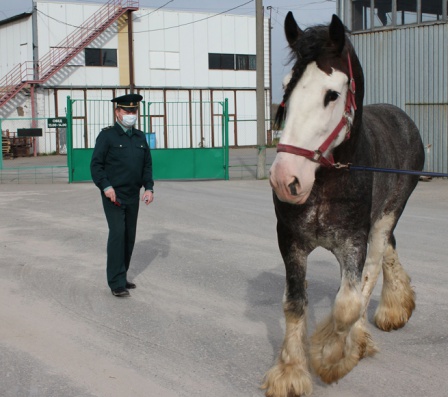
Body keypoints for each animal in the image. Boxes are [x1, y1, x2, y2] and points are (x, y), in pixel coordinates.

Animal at [264, 12, 426, 396]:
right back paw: (397, 306)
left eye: (332, 94)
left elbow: (347, 304)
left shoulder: (353, 241)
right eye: (286, 85)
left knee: (376, 264)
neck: (327, 182)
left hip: (386, 216)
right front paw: (290, 371)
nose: (285, 178)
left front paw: (330, 356)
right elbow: (294, 303)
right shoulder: (290, 241)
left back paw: (368, 331)